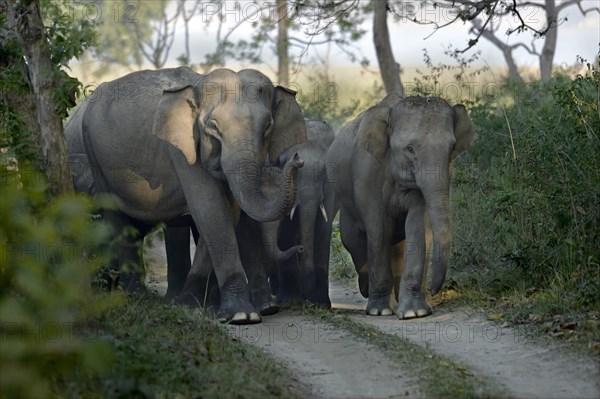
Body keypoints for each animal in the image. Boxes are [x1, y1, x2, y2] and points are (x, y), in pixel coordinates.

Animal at [66, 67, 308, 324]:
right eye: (213, 127)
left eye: (267, 127)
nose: (297, 160)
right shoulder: (182, 148)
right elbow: (210, 209)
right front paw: (239, 315)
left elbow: (226, 212)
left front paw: (200, 306)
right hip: (95, 156)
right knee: (115, 216)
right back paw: (134, 296)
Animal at [326, 93, 476, 318]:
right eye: (410, 149)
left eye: (451, 148)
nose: (432, 289)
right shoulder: (367, 175)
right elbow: (379, 230)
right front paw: (379, 311)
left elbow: (417, 225)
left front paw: (415, 313)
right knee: (353, 241)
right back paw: (369, 291)